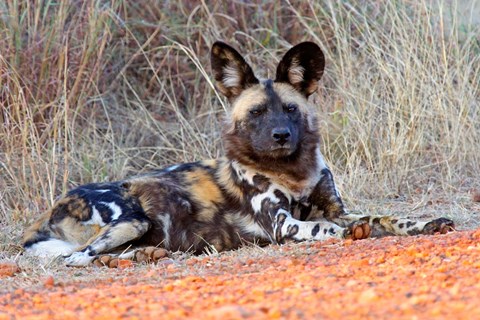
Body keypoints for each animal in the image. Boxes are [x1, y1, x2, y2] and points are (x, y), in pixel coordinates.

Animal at [21, 41, 454, 266]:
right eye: (257, 112)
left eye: (291, 109)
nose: (281, 135)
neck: (292, 171)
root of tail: (49, 208)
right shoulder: (282, 225)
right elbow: (326, 229)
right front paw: (349, 234)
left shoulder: (336, 208)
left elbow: (384, 217)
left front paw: (425, 223)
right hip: (129, 220)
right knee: (77, 256)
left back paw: (143, 257)